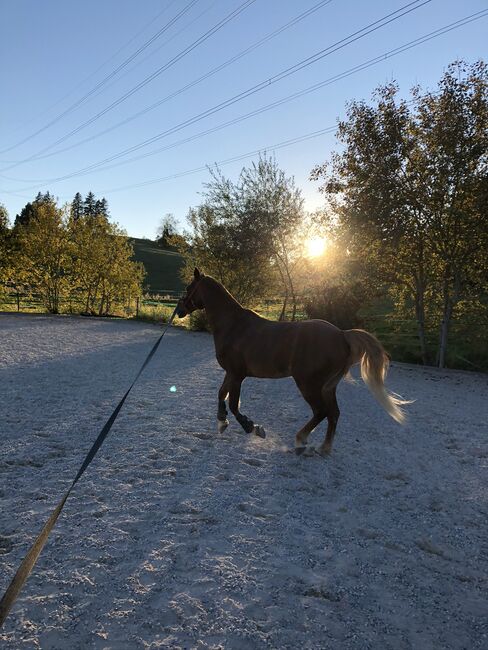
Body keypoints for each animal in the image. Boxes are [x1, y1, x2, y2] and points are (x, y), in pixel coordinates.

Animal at [176, 266, 408, 454]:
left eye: (188, 288)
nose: (179, 311)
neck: (234, 325)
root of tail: (342, 335)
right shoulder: (231, 373)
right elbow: (221, 394)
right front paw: (222, 422)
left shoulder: (237, 374)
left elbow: (233, 404)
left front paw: (252, 427)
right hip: (327, 386)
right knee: (333, 413)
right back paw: (323, 448)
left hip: (308, 384)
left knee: (321, 412)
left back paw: (300, 440)